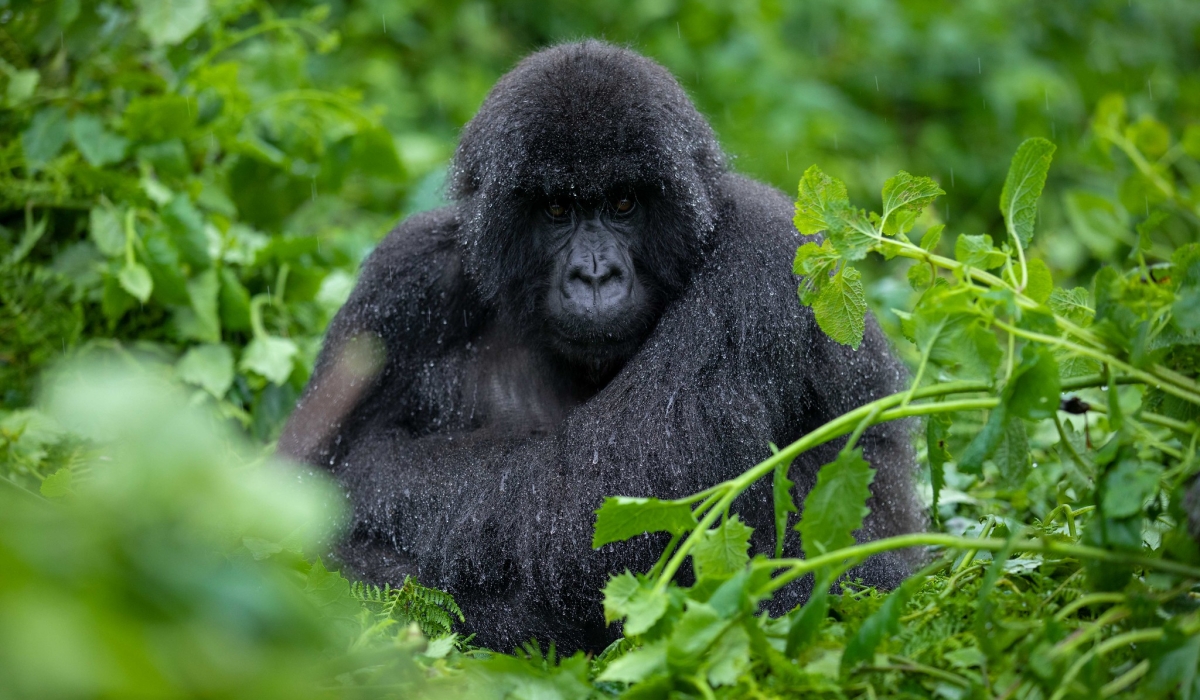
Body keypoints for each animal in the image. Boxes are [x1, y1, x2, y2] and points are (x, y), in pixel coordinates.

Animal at [278, 39, 916, 653]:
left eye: (624, 203)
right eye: (557, 208)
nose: (594, 275)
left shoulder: (764, 260)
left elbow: (596, 498)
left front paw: (369, 487)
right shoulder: (405, 279)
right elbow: (301, 481)